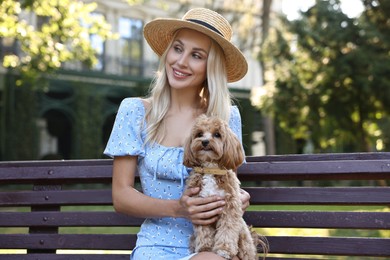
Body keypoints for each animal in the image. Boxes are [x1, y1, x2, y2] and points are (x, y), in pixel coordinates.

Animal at [183, 115, 268, 258]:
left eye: (217, 134)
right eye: (199, 134)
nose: (204, 142)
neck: (211, 168)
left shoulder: (229, 207)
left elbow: (227, 230)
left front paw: (224, 249)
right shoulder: (200, 209)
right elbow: (204, 231)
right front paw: (205, 248)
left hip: (244, 241)